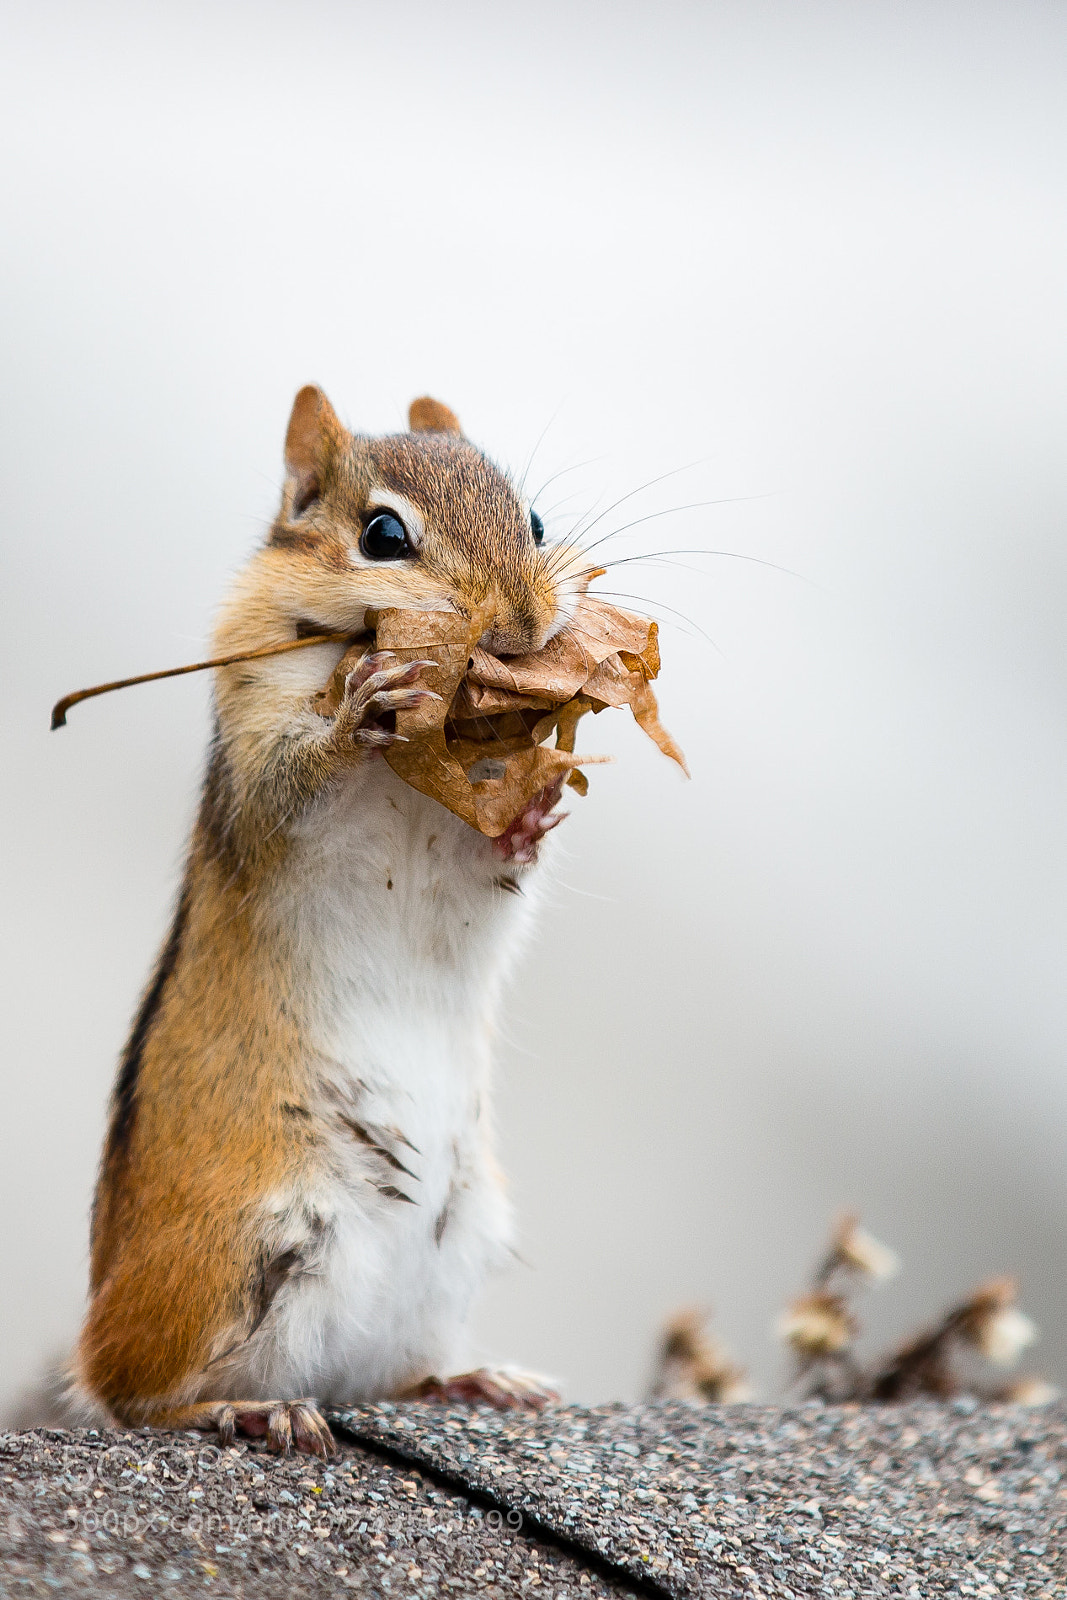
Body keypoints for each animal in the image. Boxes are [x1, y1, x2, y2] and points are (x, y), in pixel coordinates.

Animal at [73, 388, 591, 1457]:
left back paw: (470, 1379)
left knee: (380, 1373)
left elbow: (492, 859)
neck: (417, 762)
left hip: (446, 1255)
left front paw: (533, 808)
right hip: (240, 1251)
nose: (522, 626)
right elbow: (293, 781)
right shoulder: (256, 749)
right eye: (383, 535)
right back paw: (244, 1405)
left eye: (534, 522)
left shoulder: (459, 842)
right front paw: (361, 708)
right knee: (133, 1393)